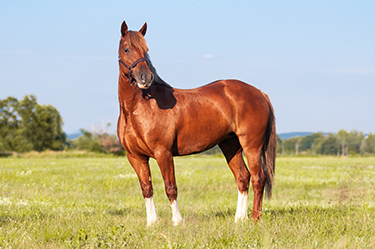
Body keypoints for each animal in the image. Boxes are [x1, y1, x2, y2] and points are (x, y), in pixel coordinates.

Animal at [119, 20, 278, 226]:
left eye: (146, 50)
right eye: (127, 49)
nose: (145, 78)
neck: (138, 108)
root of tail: (259, 92)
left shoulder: (163, 153)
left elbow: (170, 187)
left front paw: (177, 221)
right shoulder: (136, 157)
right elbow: (147, 188)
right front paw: (152, 223)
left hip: (251, 145)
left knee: (259, 178)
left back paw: (254, 218)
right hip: (230, 145)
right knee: (243, 177)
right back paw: (239, 219)